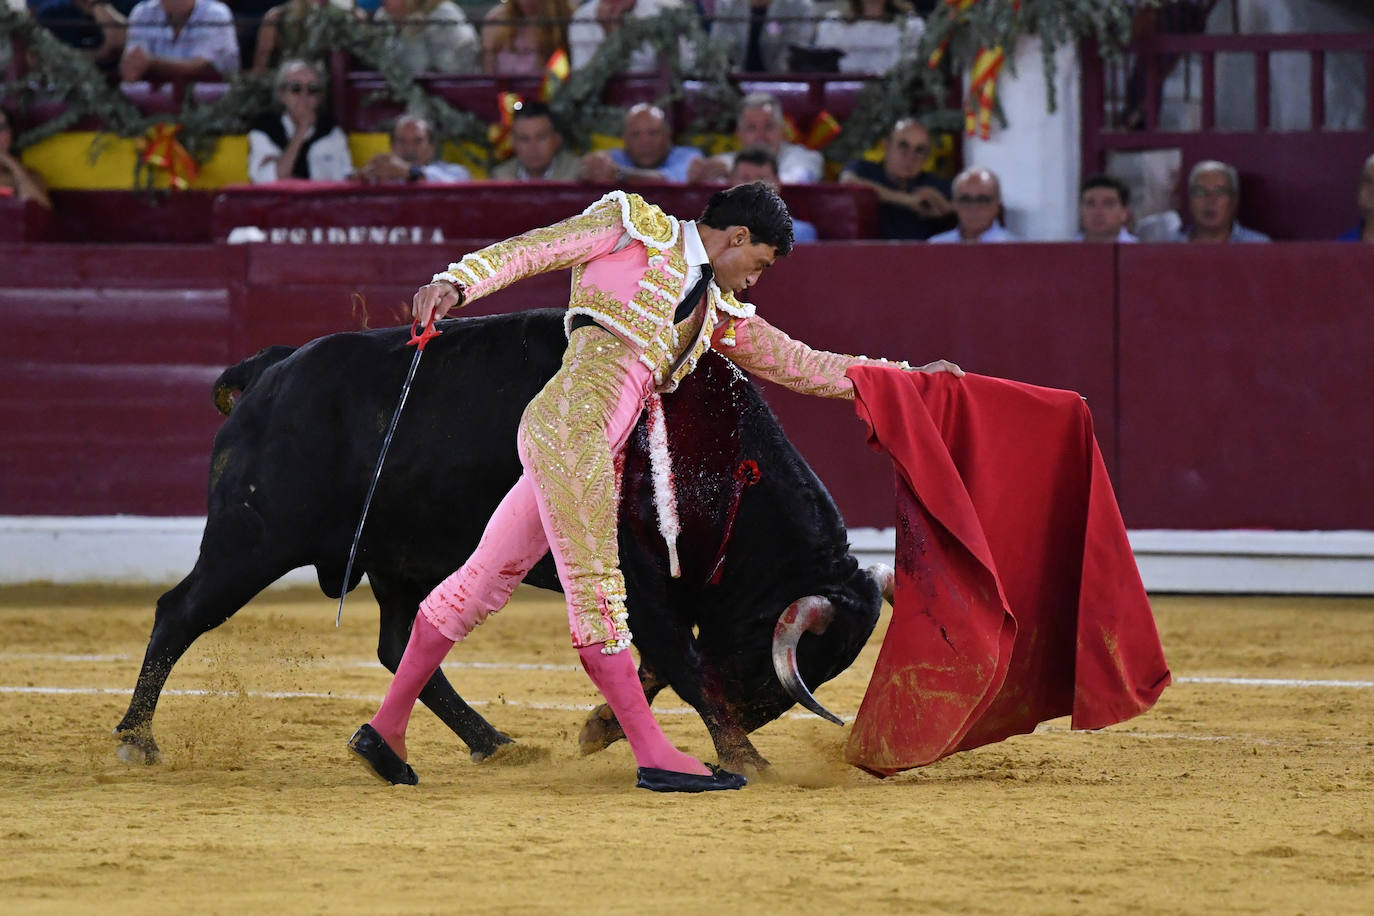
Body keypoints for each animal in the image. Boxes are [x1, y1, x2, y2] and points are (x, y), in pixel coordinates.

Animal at [118, 310, 890, 774]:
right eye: (776, 657)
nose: (753, 717)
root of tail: (270, 372)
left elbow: (663, 662)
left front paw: (602, 729)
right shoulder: (635, 576)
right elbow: (680, 660)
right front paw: (745, 759)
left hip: (397, 555)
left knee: (400, 641)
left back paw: (491, 744)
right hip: (252, 541)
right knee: (179, 613)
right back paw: (136, 740)